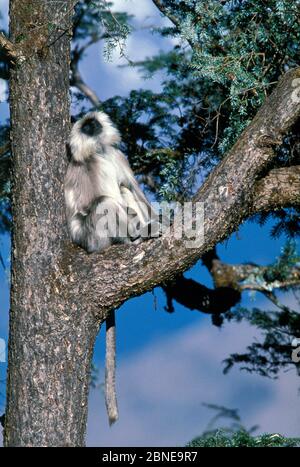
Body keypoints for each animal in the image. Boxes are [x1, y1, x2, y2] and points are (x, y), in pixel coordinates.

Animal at [64, 111, 161, 426]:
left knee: (124, 191)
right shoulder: (78, 168)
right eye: (86, 127)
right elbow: (79, 210)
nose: (92, 127)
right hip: (94, 239)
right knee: (103, 204)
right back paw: (130, 237)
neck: (97, 152)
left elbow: (135, 190)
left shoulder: (118, 156)